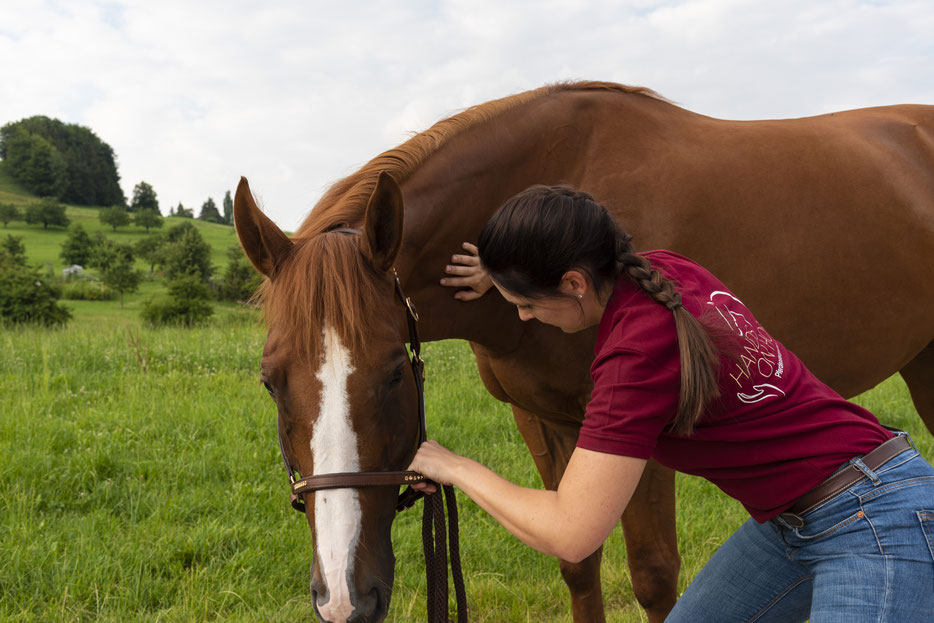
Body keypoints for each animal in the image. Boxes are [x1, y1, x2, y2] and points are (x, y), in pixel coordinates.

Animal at [236, 81, 934, 623]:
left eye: (391, 374)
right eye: (270, 381)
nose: (344, 599)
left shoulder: (637, 435)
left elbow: (654, 575)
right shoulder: (543, 419)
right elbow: (576, 559)